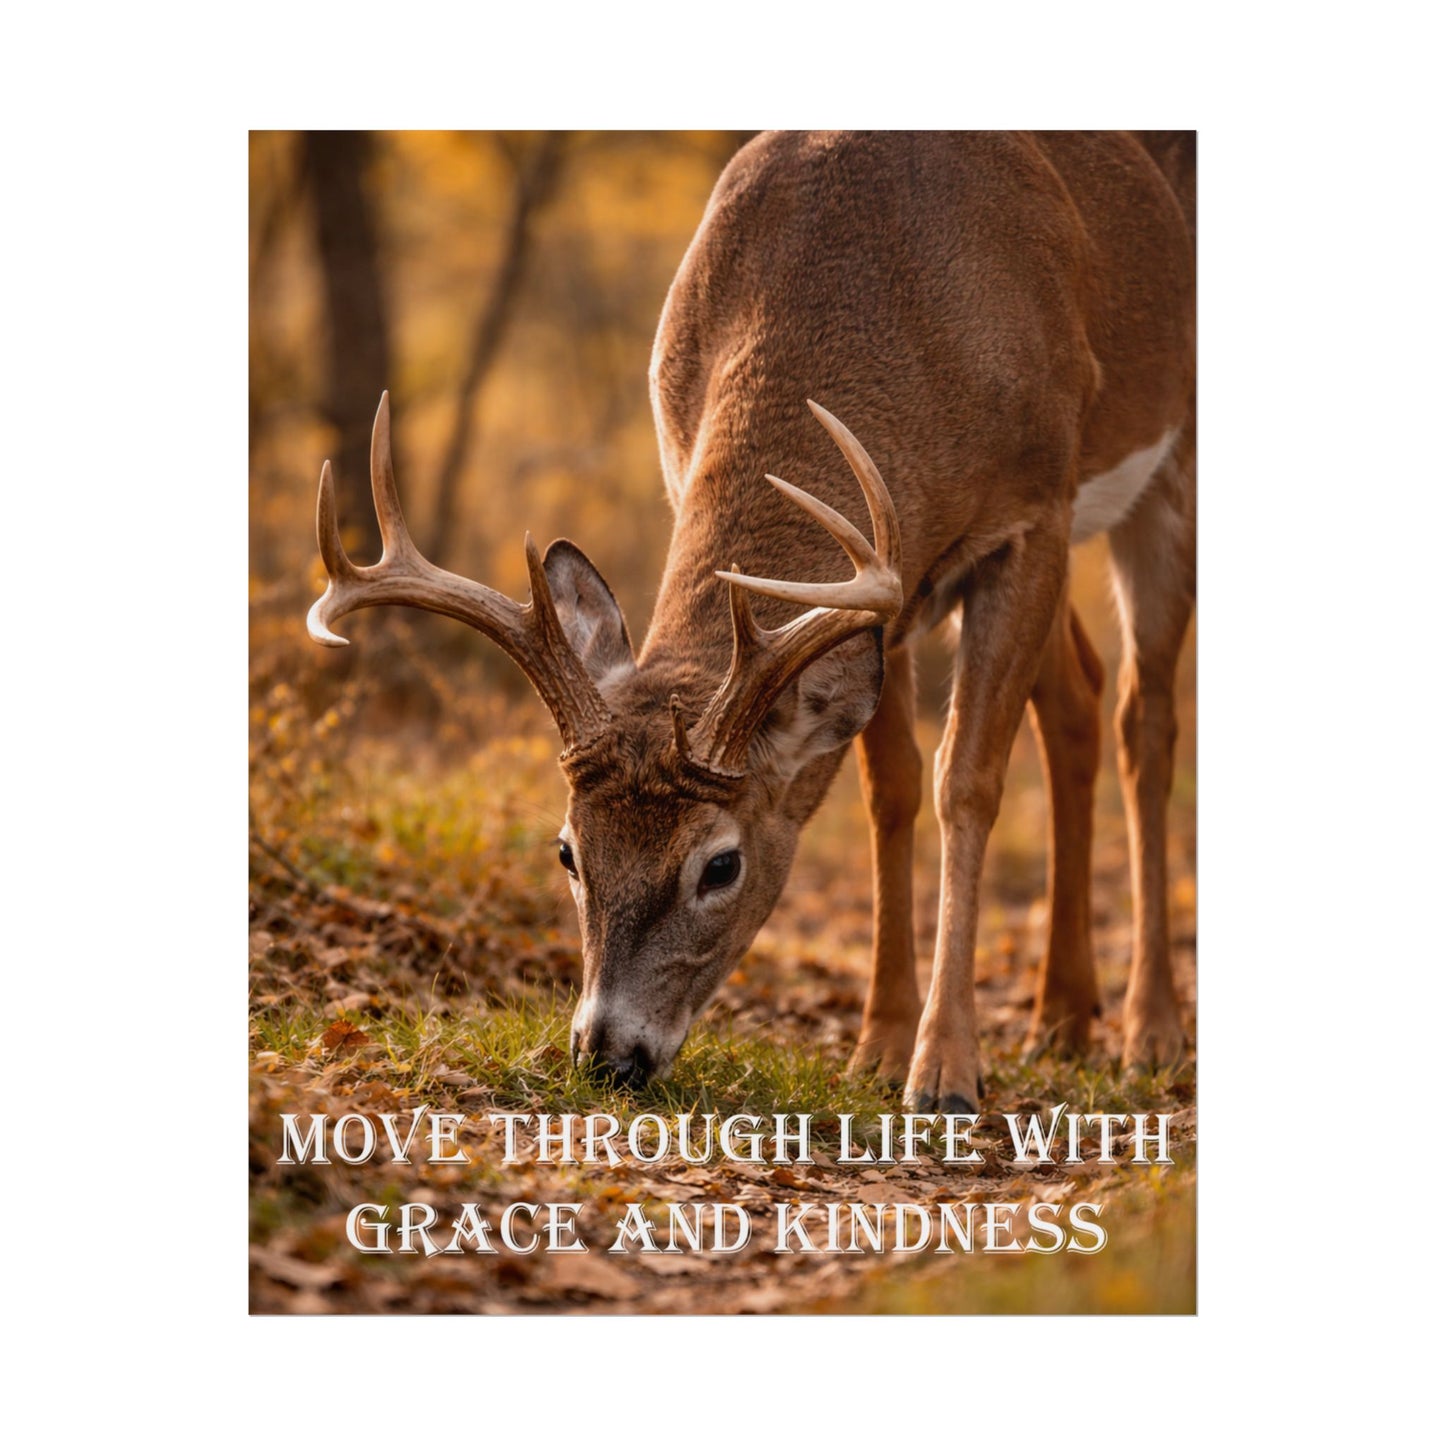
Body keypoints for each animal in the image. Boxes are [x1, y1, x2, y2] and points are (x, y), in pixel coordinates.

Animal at [308, 131, 1196, 1114]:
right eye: (568, 850)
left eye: (720, 864)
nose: (608, 1056)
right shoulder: (886, 581)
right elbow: (888, 788)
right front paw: (879, 1045)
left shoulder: (1029, 513)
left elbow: (963, 781)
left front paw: (944, 1070)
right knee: (1078, 695)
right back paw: (1062, 1016)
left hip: (1162, 469)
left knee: (1144, 717)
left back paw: (1150, 1031)